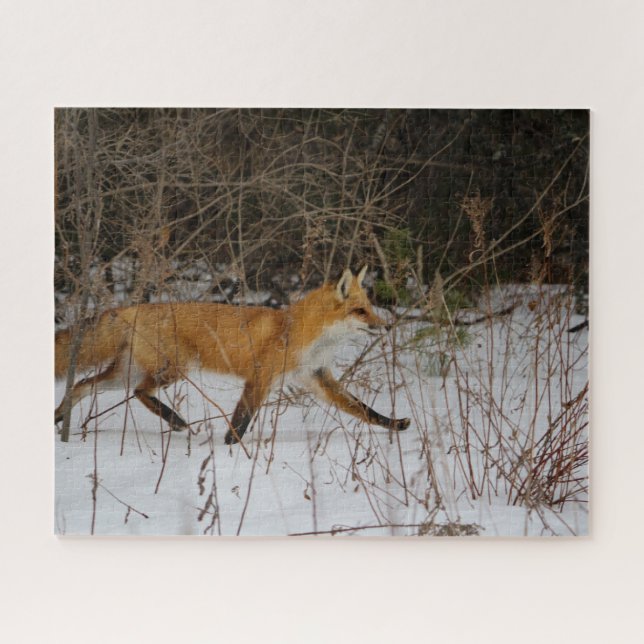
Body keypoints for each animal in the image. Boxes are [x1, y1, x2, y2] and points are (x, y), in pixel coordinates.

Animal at [54, 266, 411, 444]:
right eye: (361, 311)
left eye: (370, 308)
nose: (387, 326)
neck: (299, 332)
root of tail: (132, 307)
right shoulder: (261, 378)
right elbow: (241, 421)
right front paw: (230, 451)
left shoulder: (317, 377)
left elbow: (364, 410)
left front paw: (396, 424)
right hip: (172, 370)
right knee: (139, 392)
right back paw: (176, 421)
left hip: (127, 372)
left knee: (83, 384)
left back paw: (59, 419)